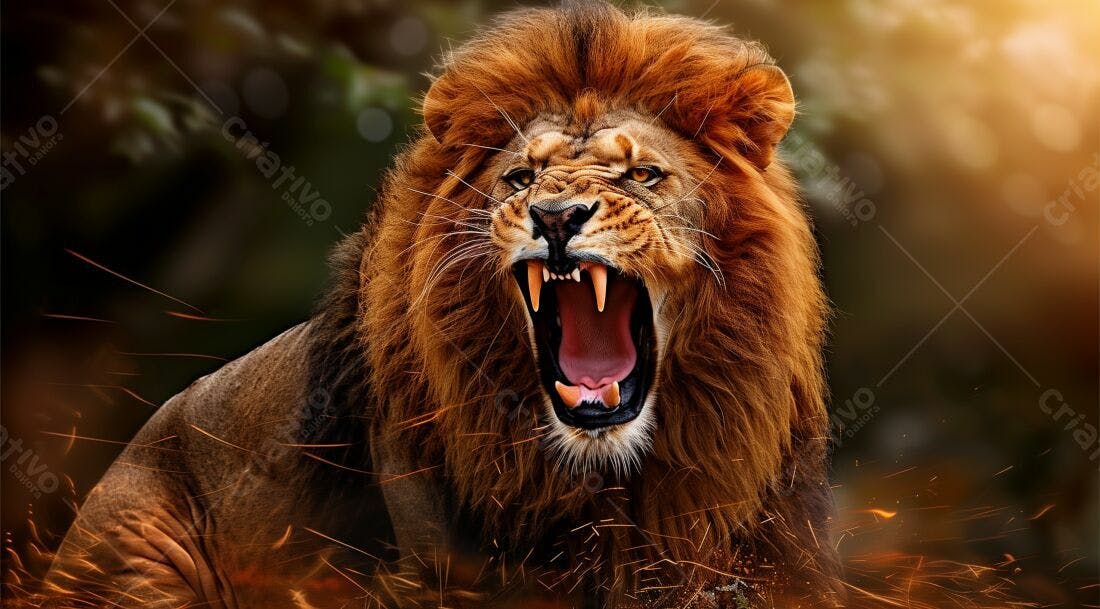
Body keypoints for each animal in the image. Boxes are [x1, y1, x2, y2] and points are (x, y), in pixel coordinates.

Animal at [40, 2, 841, 607]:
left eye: (643, 174)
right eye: (521, 178)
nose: (555, 217)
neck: (608, 477)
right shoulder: (445, 569)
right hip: (137, 554)